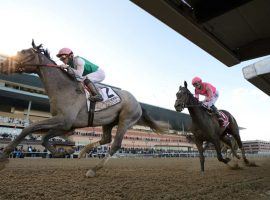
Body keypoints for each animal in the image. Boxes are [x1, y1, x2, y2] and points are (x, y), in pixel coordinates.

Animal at [0, 41, 169, 177]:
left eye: (23, 53)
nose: (2, 64)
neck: (63, 88)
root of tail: (139, 103)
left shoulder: (64, 121)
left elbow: (29, 128)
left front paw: (4, 156)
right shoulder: (67, 125)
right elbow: (44, 138)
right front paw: (63, 151)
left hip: (125, 120)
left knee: (115, 145)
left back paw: (93, 169)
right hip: (108, 122)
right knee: (106, 139)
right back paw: (83, 151)